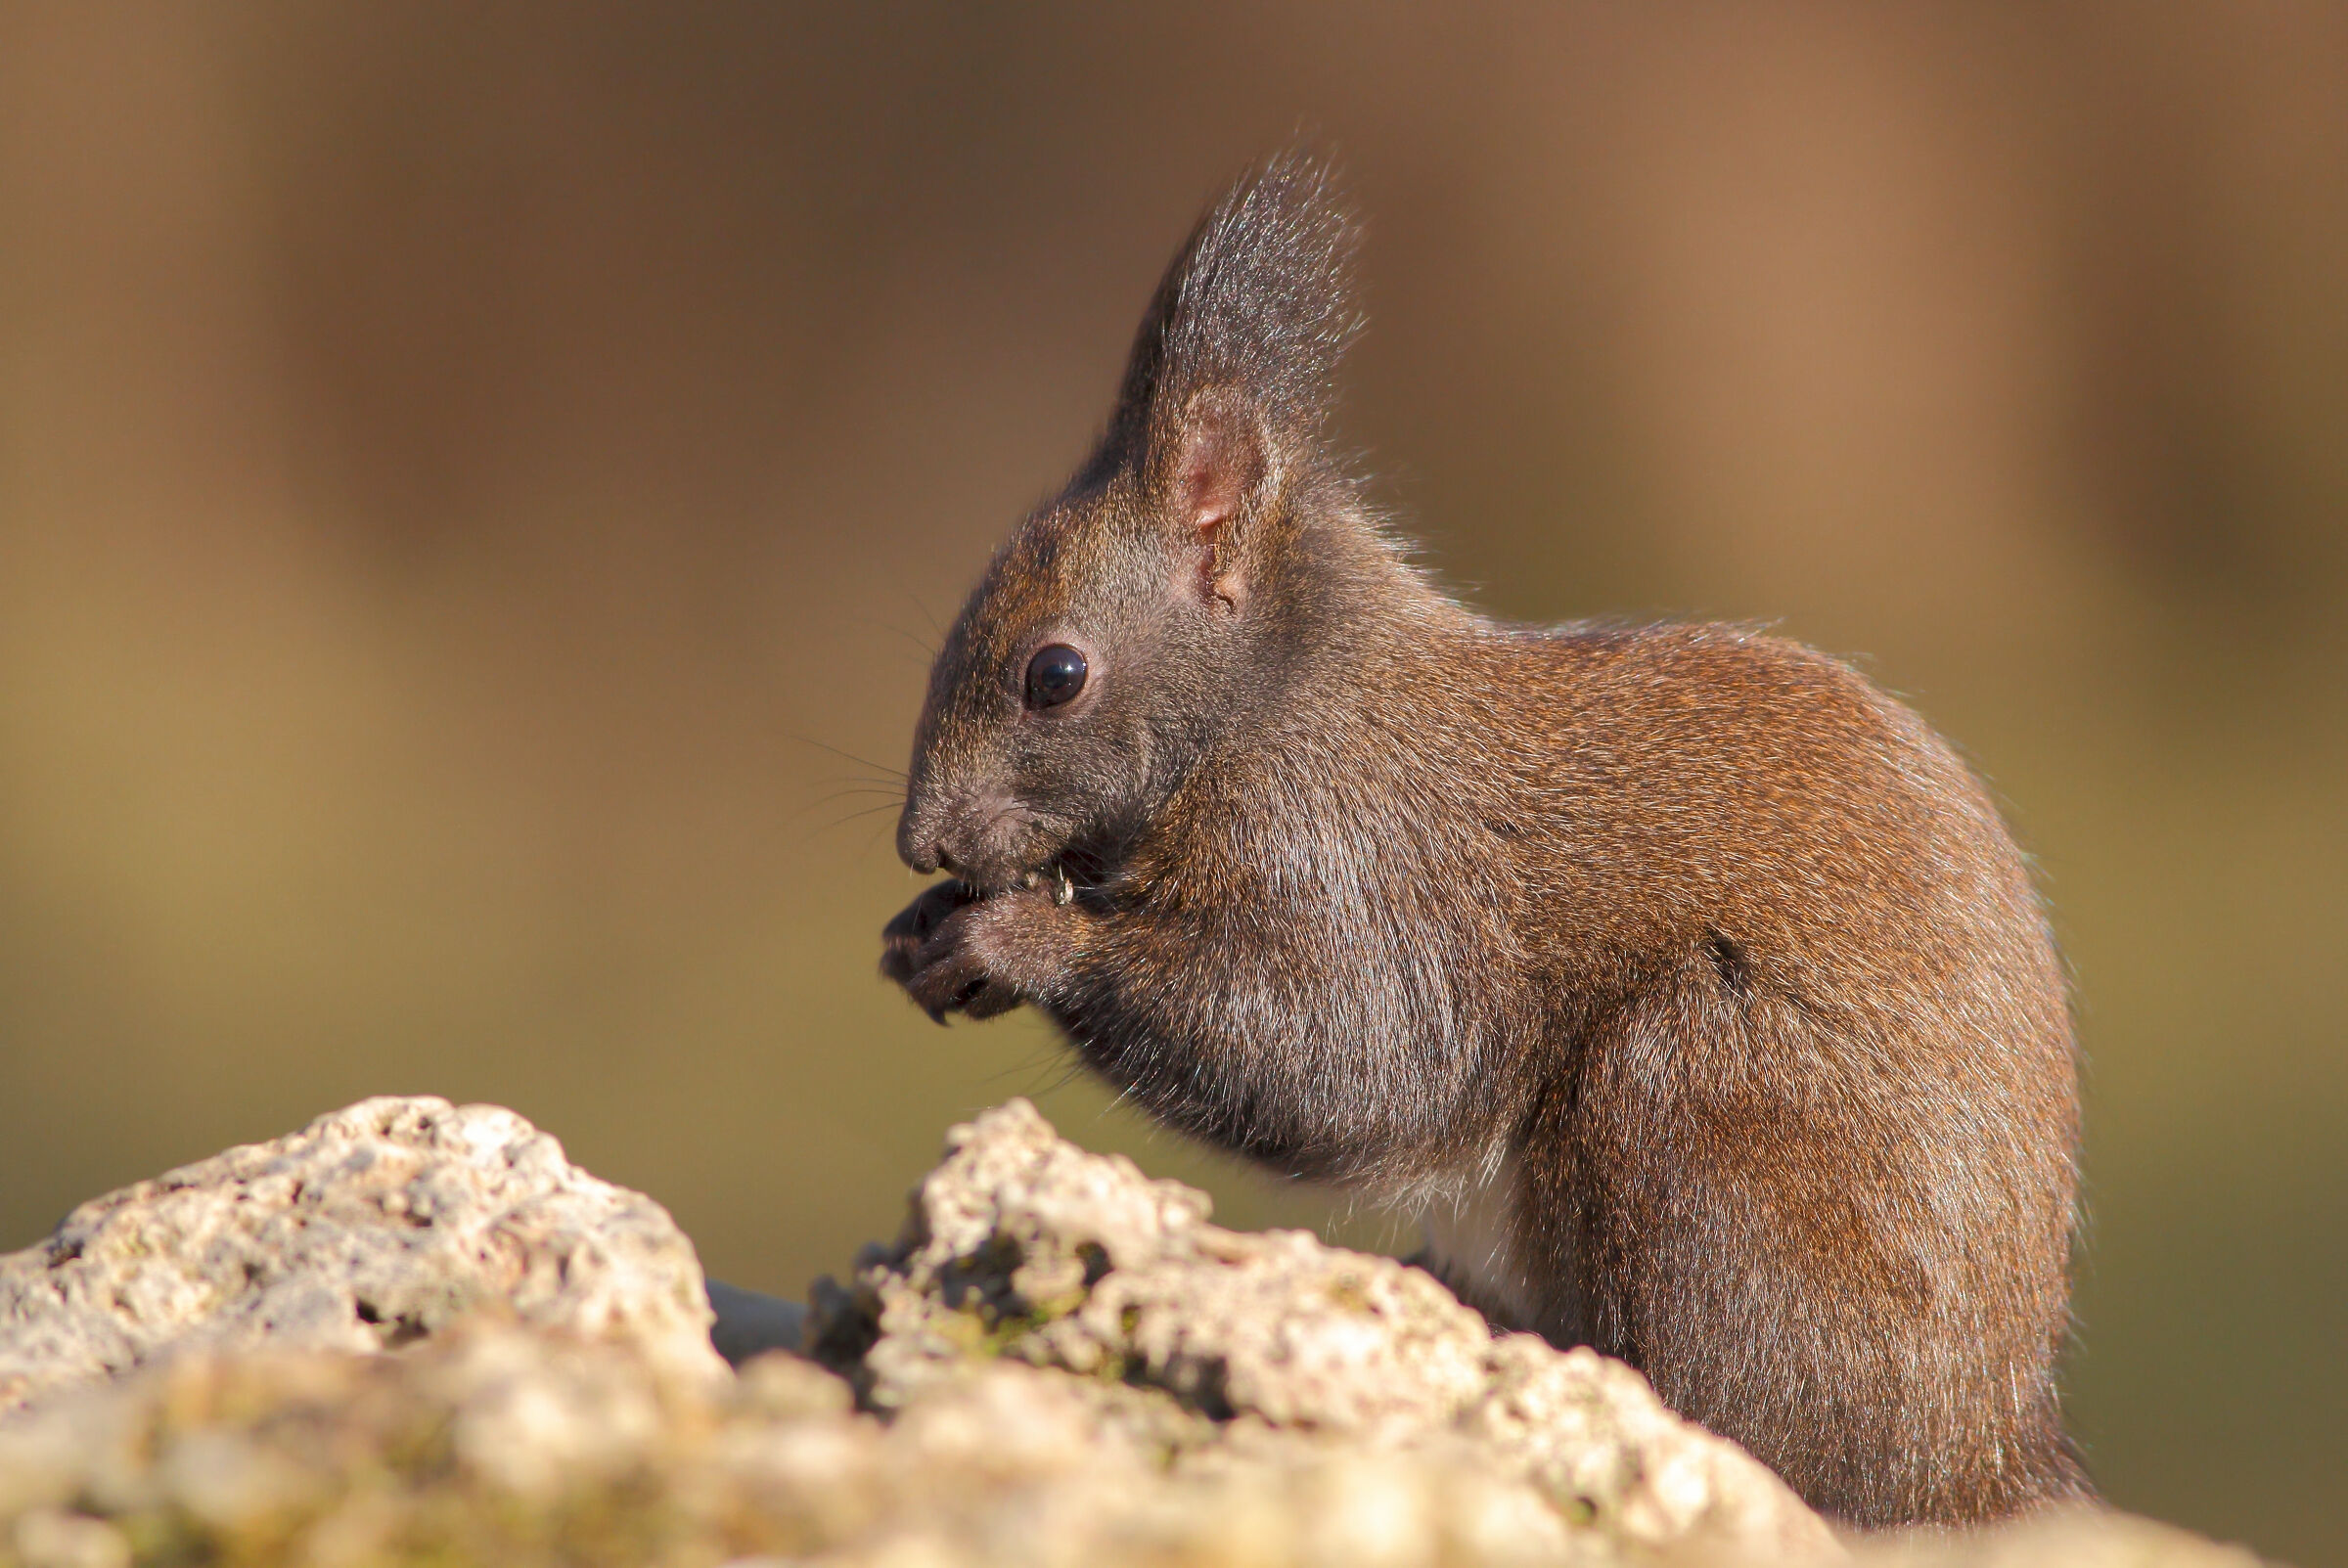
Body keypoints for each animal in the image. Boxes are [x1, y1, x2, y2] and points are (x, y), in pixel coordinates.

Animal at [879, 150, 2087, 1528]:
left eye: (1056, 675)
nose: (922, 842)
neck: (1274, 696)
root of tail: (1977, 1451)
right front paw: (925, 934)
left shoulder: (1360, 858)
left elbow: (1345, 1058)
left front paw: (1016, 936)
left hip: (1704, 1105)